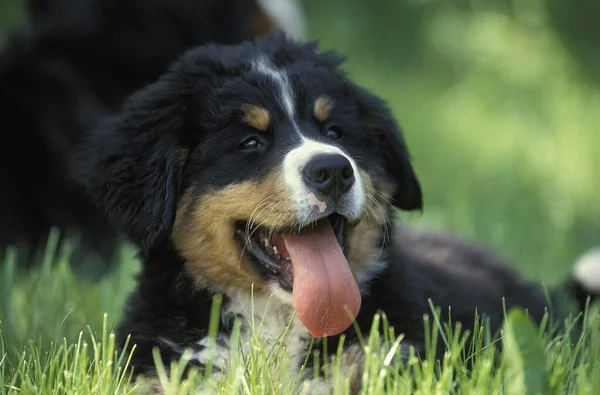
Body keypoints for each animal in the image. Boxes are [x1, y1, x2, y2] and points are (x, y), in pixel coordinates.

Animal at [72, 32, 596, 392]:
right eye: (250, 142)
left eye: (336, 132)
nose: (333, 170)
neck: (279, 323)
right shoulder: (161, 368)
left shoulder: (390, 357)